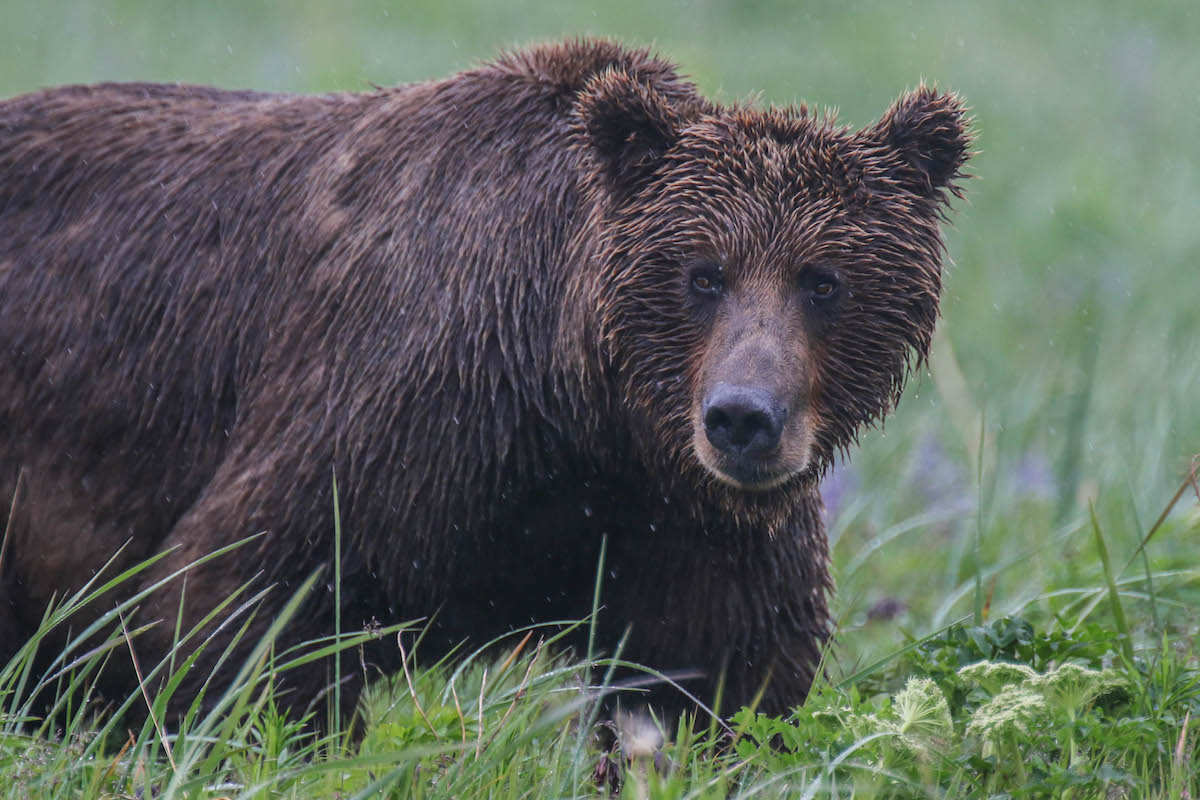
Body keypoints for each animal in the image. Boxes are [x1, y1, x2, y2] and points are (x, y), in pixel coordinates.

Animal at [0, 40, 964, 724]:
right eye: (702, 274)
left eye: (823, 279)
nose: (742, 419)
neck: (579, 406)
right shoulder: (401, 409)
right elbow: (241, 603)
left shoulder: (684, 521)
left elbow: (709, 677)